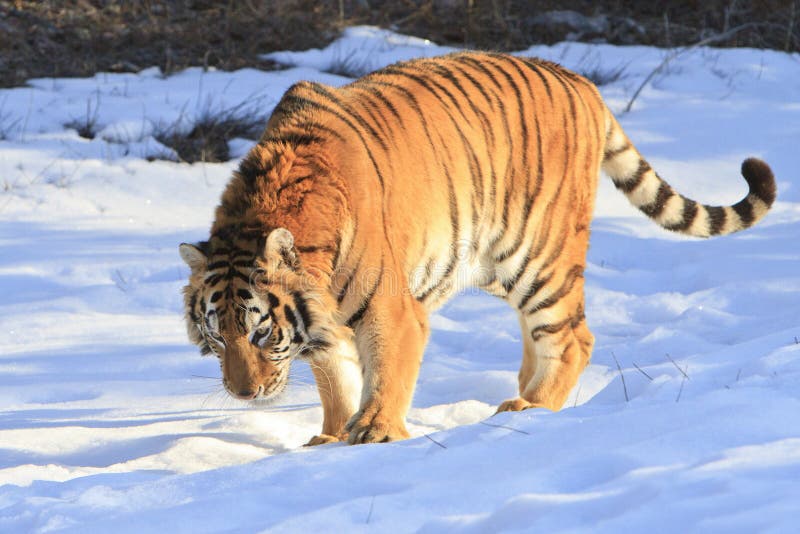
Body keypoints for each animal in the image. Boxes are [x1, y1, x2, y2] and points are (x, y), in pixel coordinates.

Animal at [181, 52, 776, 448]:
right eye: (218, 335)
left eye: (260, 332)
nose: (244, 393)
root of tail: (583, 83)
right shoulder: (326, 327)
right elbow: (336, 381)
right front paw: (329, 436)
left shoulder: (392, 311)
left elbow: (385, 375)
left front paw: (374, 432)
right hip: (493, 265)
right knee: (541, 339)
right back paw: (520, 397)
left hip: (538, 256)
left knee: (574, 337)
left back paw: (532, 408)